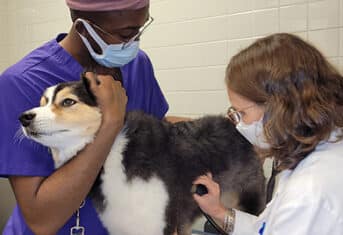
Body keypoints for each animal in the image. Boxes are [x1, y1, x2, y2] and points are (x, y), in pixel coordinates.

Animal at [18, 76, 266, 234]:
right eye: (43, 103)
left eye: (68, 102)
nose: (24, 117)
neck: (111, 153)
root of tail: (232, 124)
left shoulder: (161, 223)